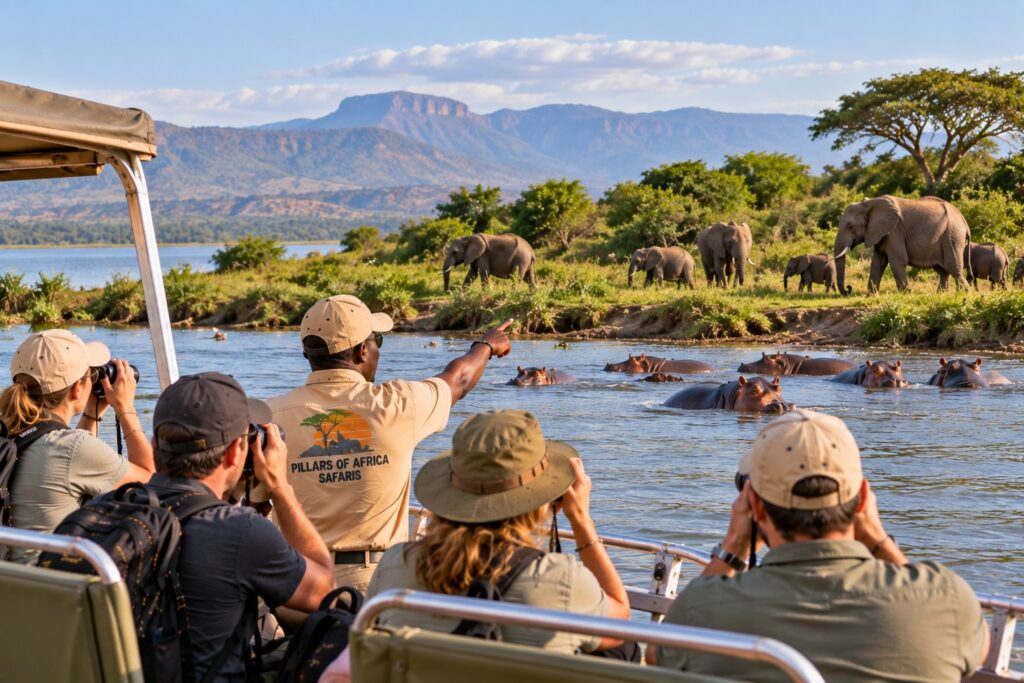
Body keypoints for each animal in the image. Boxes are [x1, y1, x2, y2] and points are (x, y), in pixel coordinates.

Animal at [833, 195, 971, 294]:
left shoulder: (894, 231)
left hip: (952, 235)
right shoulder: (881, 233)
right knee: (943, 270)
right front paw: (872, 294)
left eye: (850, 227)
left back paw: (965, 293)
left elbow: (897, 260)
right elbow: (878, 262)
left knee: (953, 267)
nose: (849, 288)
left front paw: (907, 293)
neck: (869, 204)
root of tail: (964, 221)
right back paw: (942, 294)